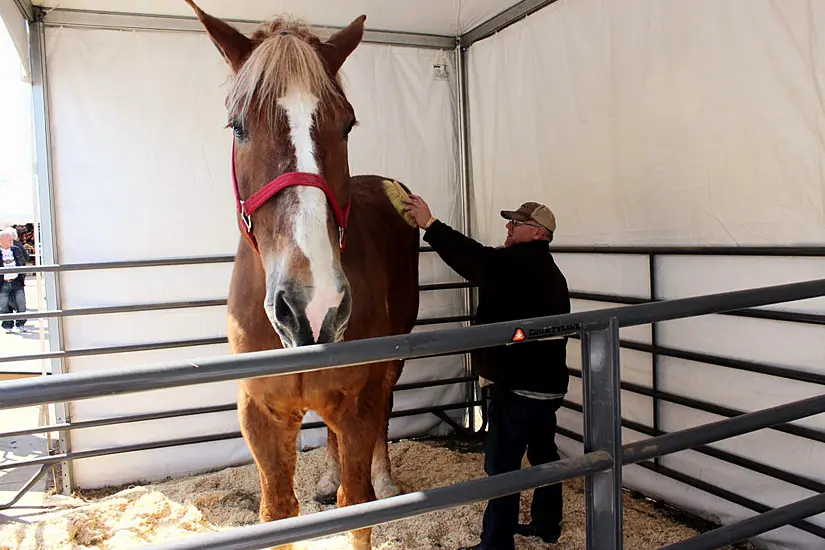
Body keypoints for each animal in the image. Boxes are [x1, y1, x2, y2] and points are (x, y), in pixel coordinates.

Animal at [185, 2, 418, 548]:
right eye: (238, 127)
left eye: (348, 124)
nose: (314, 307)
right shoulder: (262, 417)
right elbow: (278, 514)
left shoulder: (358, 404)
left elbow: (356, 508)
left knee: (385, 412)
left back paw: (386, 478)